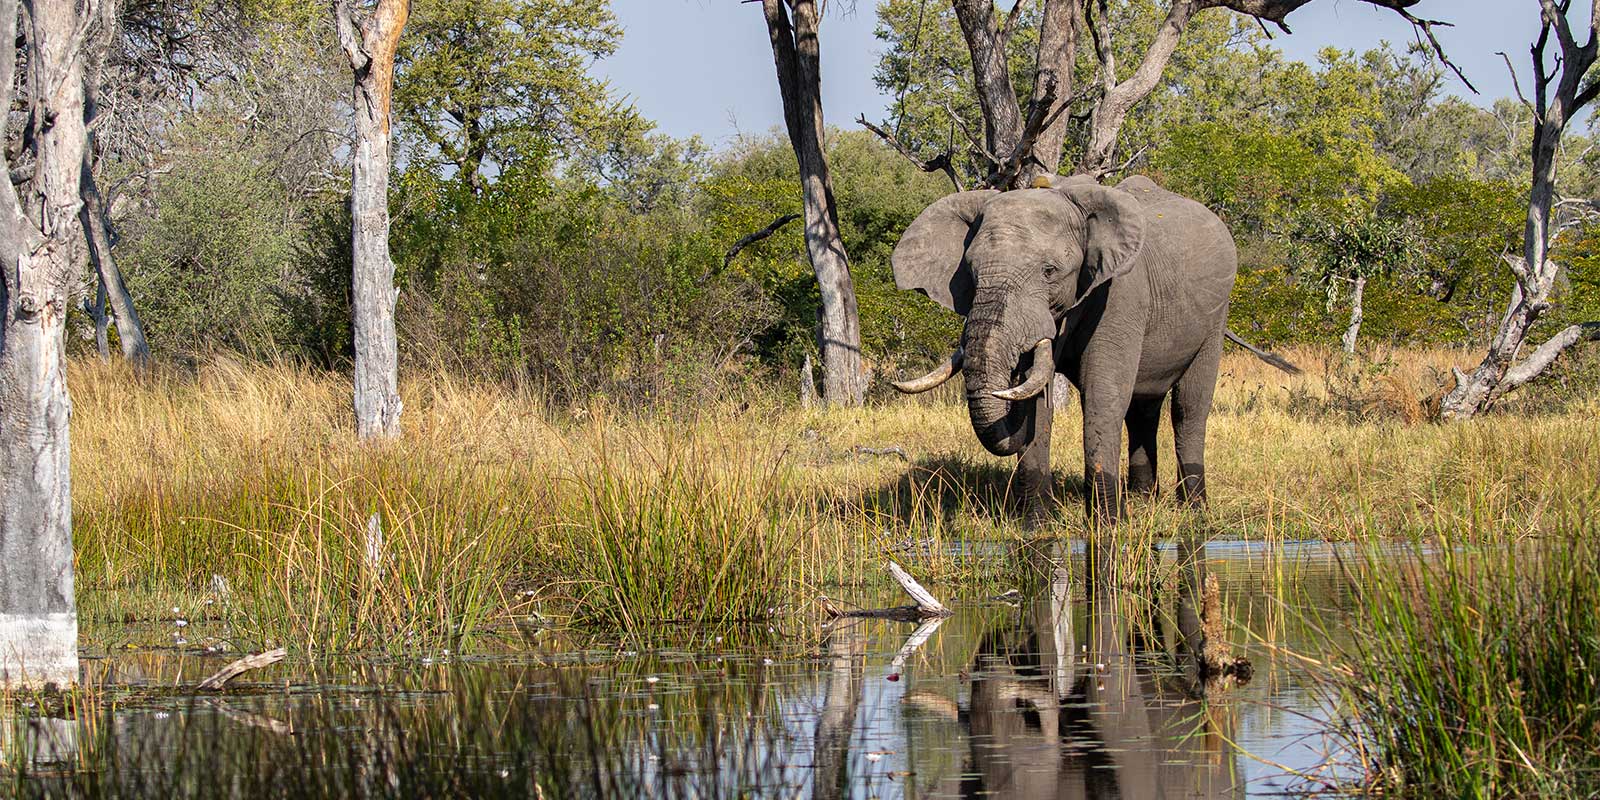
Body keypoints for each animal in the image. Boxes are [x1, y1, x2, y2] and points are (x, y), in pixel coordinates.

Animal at [890, 174, 1237, 527]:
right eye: (972, 271)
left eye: (1049, 271)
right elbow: (1038, 406)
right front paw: (1035, 523)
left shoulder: (1121, 294)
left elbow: (1104, 395)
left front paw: (1107, 526)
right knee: (1143, 410)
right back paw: (1142, 501)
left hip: (1215, 316)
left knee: (1188, 407)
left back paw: (1193, 509)